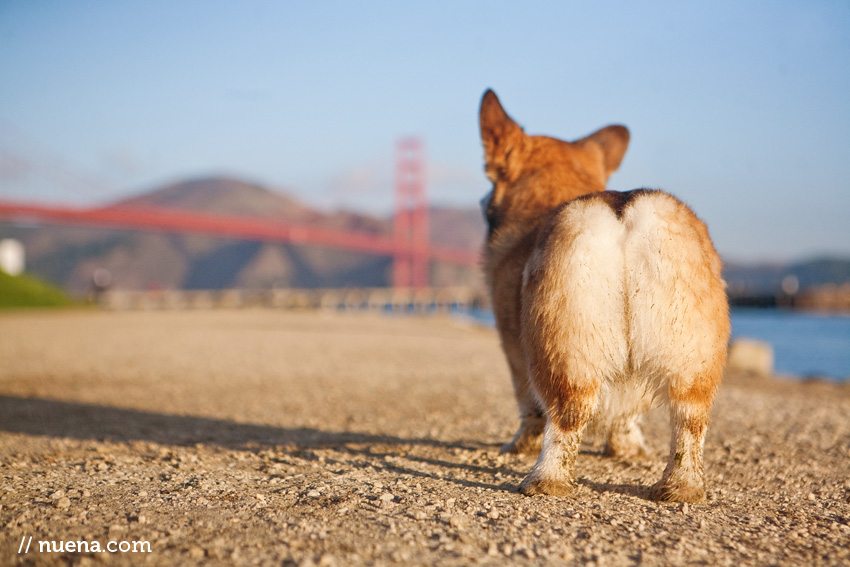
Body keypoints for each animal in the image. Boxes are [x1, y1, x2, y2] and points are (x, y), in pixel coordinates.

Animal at [480, 89, 724, 502]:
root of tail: (624, 214)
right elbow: (627, 416)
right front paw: (627, 448)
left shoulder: (513, 347)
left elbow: (528, 408)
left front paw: (517, 447)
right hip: (693, 356)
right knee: (689, 423)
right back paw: (681, 487)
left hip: (562, 348)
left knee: (565, 417)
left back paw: (544, 481)